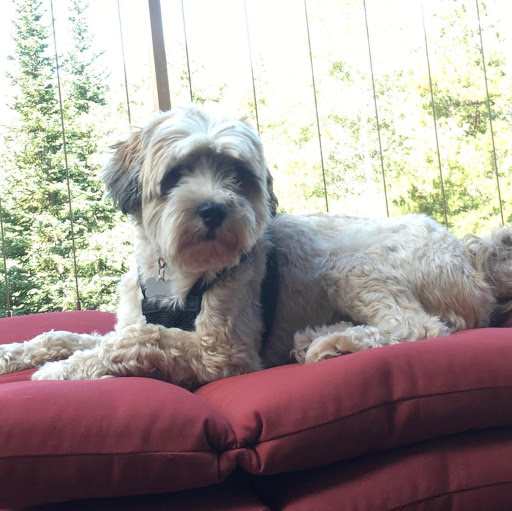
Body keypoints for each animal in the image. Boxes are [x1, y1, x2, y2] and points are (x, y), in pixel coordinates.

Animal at [1, 106, 511, 389]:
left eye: (236, 174)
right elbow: (71, 334)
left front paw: (64, 371)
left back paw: (330, 341)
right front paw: (16, 354)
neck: (178, 273)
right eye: (176, 174)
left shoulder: (224, 353)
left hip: (350, 263)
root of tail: (471, 256)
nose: (213, 209)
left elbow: (142, 339)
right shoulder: (135, 318)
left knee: (418, 327)